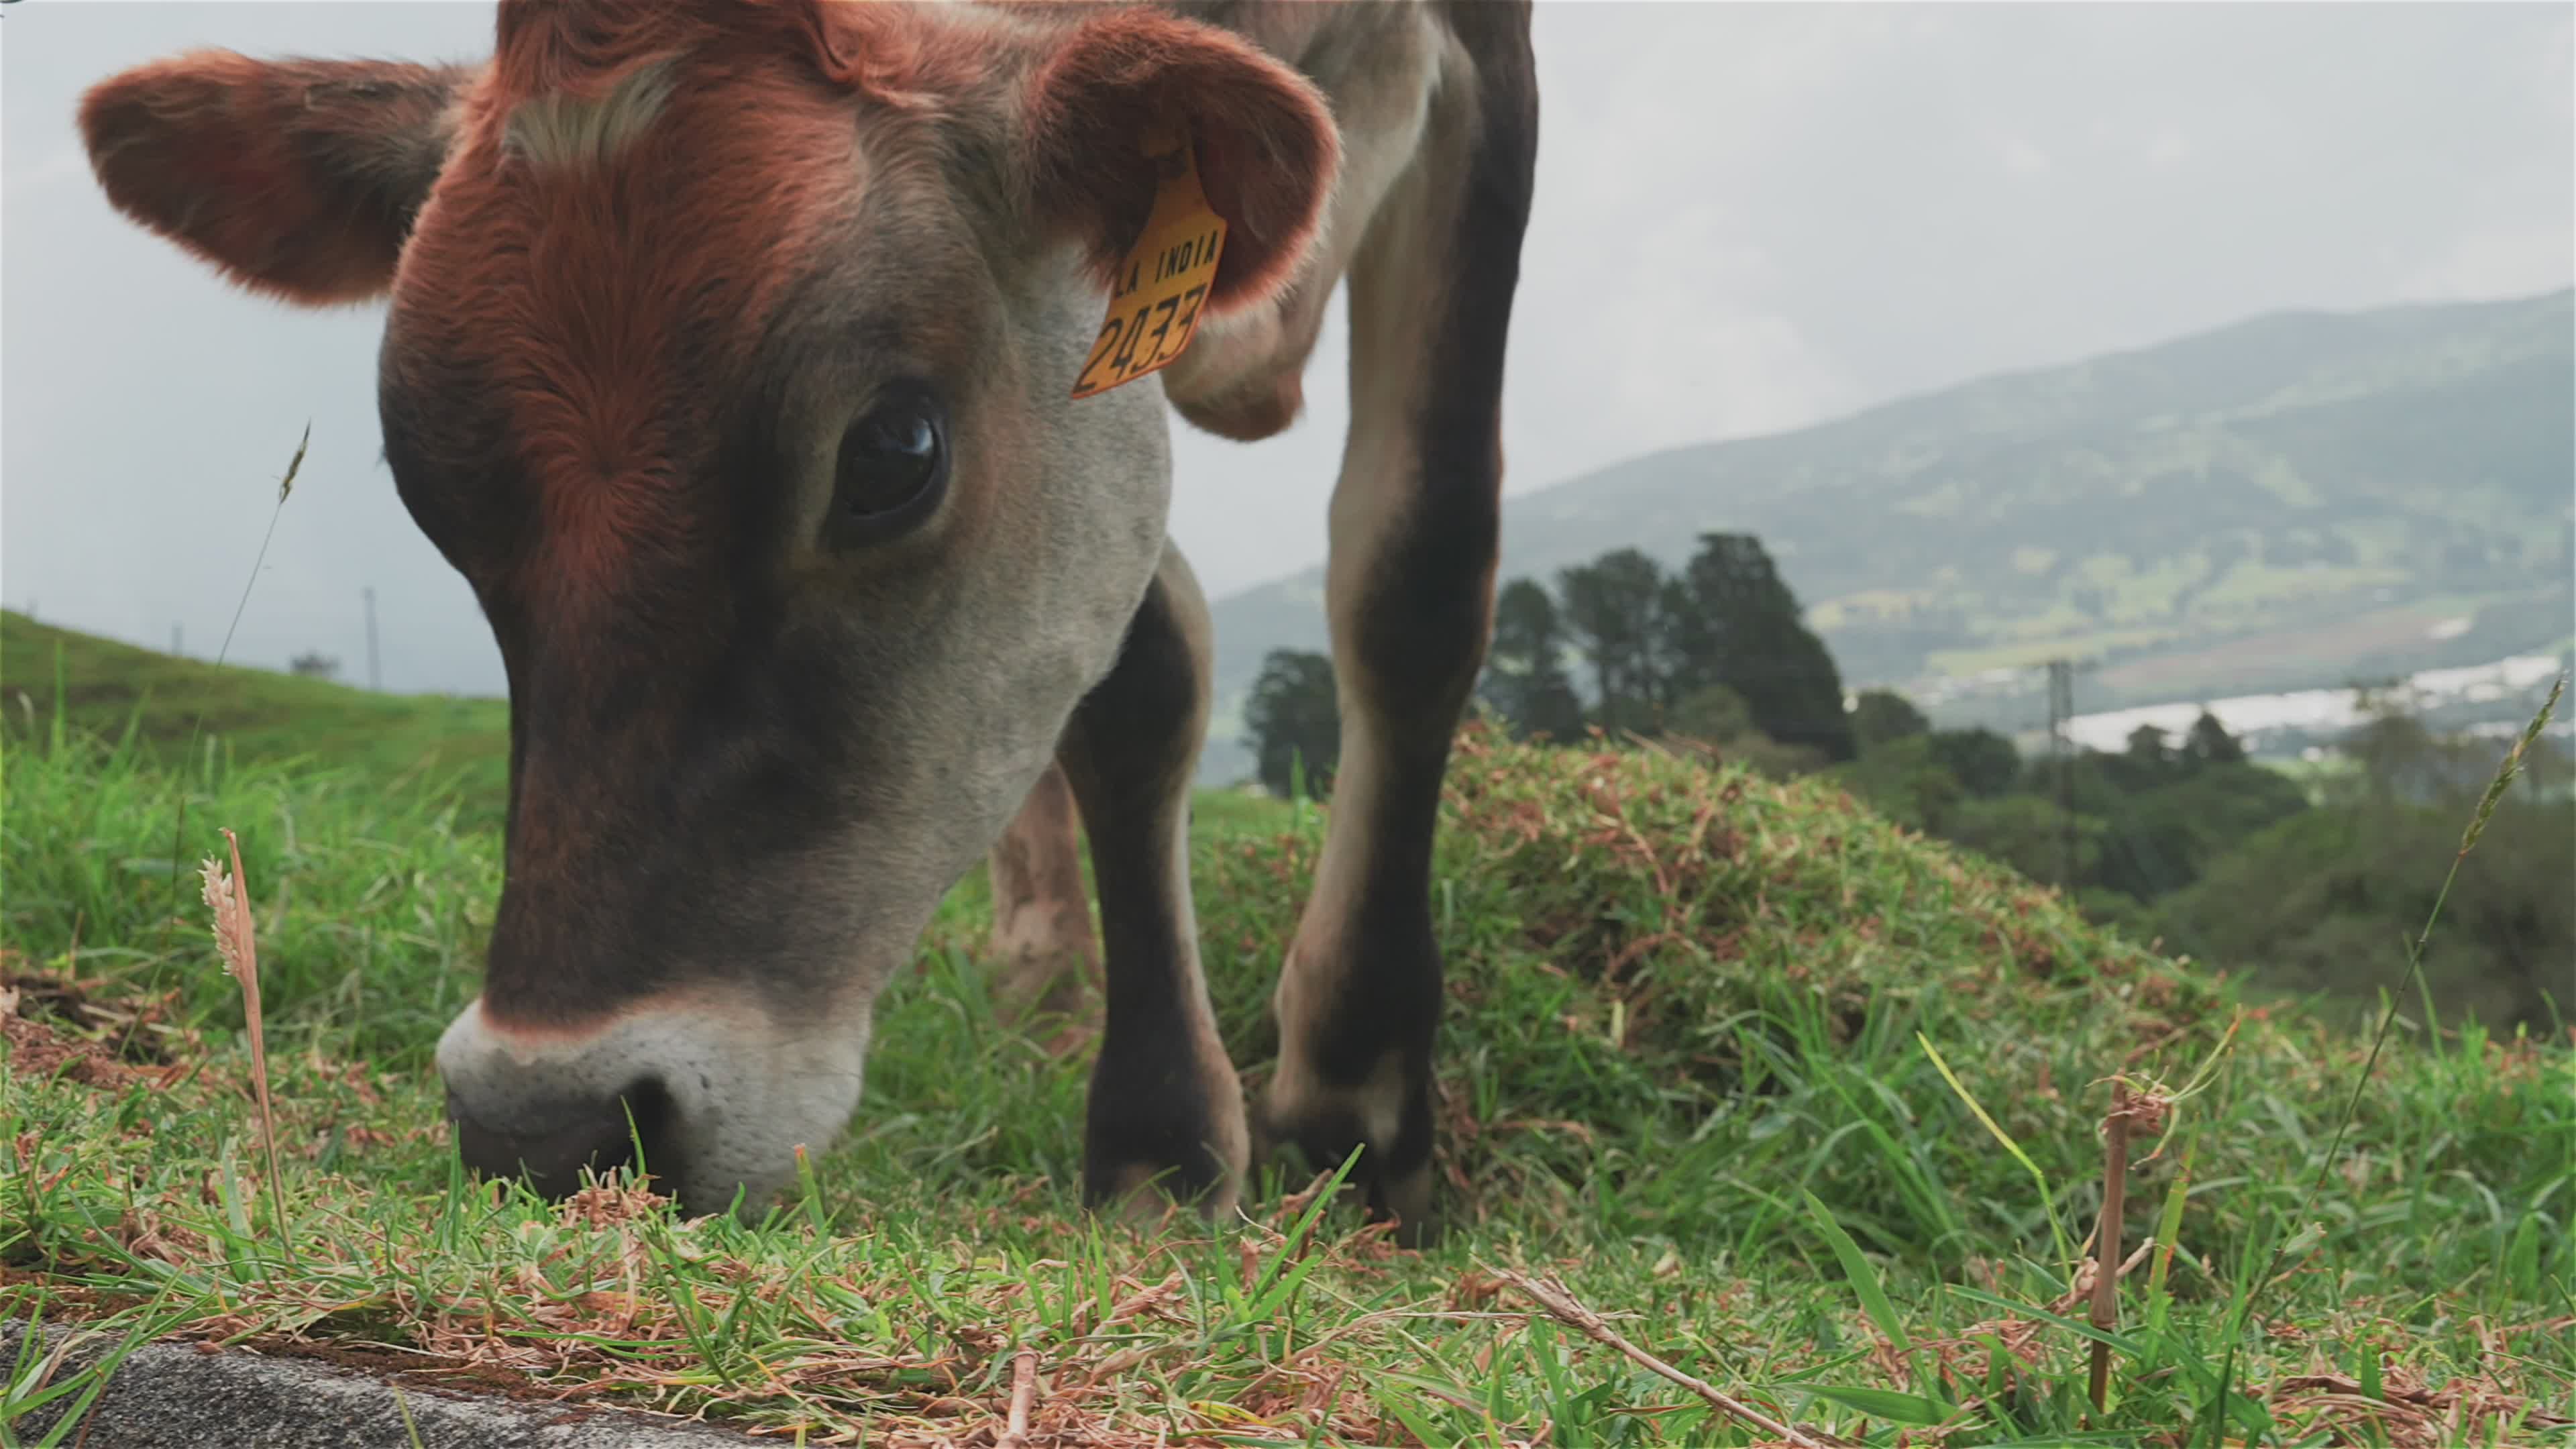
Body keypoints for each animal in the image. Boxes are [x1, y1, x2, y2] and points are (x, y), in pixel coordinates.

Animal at [77, 0, 1537, 1239]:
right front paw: (1163, 1139)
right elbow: (1134, 677)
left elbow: (1414, 569)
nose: (547, 1129)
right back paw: (1046, 981)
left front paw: (1360, 1100)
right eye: (432, 495)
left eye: (893, 452)